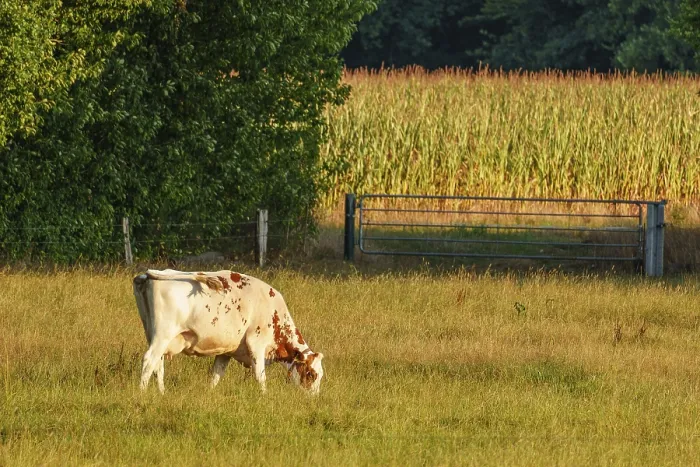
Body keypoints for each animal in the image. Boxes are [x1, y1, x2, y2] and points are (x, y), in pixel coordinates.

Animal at [132, 269, 324, 395]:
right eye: (310, 374)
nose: (313, 398)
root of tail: (147, 275)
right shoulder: (256, 344)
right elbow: (260, 376)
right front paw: (265, 396)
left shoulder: (226, 352)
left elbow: (216, 375)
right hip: (162, 335)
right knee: (149, 360)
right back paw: (142, 393)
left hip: (153, 334)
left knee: (158, 364)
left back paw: (162, 393)